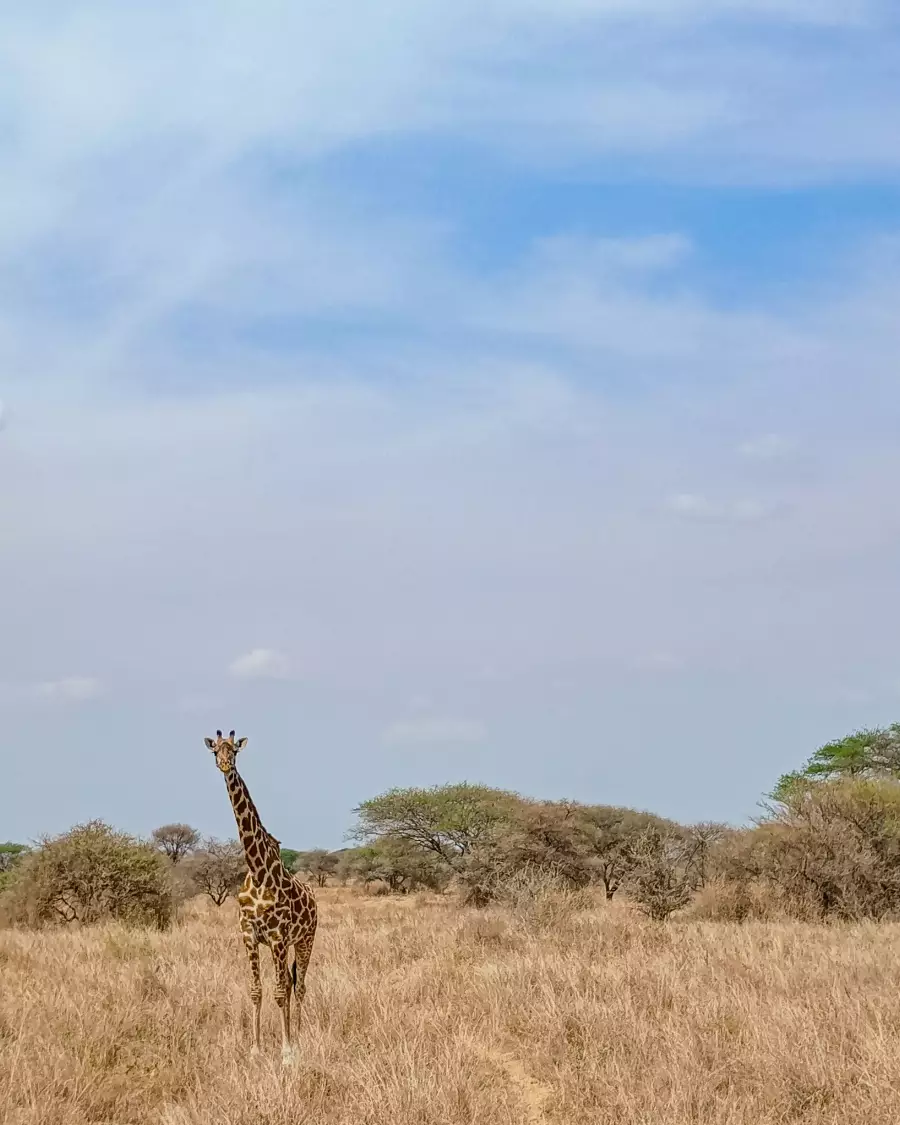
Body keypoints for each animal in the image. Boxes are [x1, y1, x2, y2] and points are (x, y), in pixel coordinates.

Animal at [204, 729, 317, 1065]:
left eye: (234, 751)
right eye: (214, 750)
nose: (225, 765)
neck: (257, 871)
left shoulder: (279, 936)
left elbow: (279, 991)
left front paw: (287, 1051)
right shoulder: (249, 934)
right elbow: (257, 989)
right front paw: (255, 1050)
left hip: (305, 939)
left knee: (300, 986)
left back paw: (299, 1038)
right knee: (290, 984)